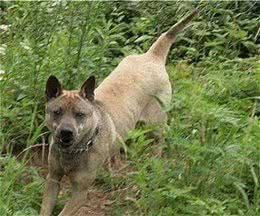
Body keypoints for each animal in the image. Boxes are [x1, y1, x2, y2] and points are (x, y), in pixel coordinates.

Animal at [40, 9, 197, 215]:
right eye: (57, 112)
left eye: (80, 114)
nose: (66, 132)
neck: (75, 151)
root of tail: (152, 56)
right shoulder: (52, 179)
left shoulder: (80, 193)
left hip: (156, 124)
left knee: (160, 140)